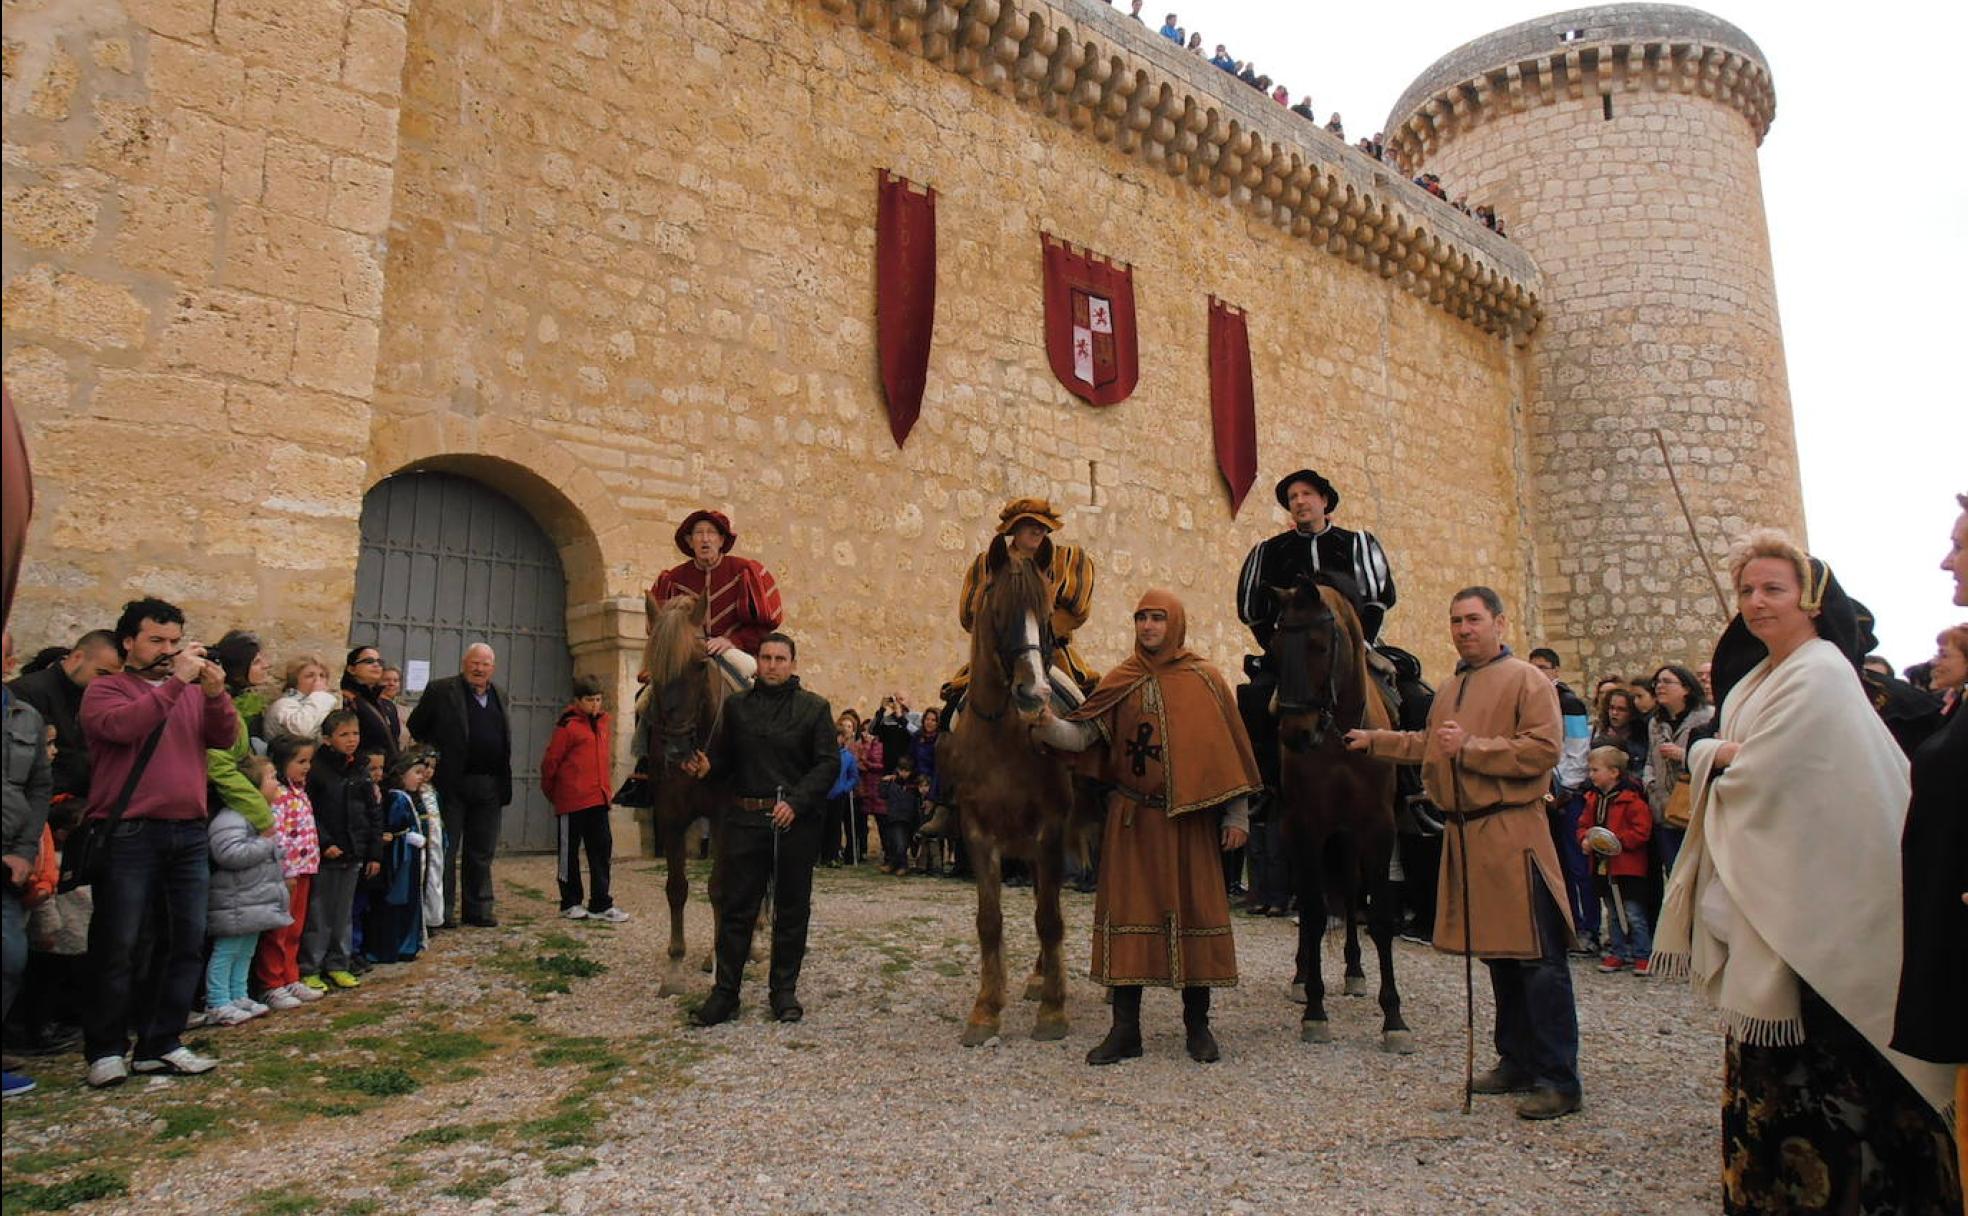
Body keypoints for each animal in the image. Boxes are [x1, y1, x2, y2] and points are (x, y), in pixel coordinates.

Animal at [641, 590, 755, 987]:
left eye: (700, 664)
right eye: (652, 669)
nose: (677, 750)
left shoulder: (724, 818)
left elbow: (720, 890)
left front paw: (720, 958)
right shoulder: (670, 816)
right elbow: (676, 888)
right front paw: (675, 963)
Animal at [936, 539, 1078, 1038]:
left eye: (1048, 611)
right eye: (997, 610)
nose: (1034, 694)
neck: (1003, 736)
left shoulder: (1052, 829)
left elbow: (1050, 919)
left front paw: (1054, 1011)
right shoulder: (978, 834)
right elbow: (990, 920)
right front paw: (985, 1009)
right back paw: (1037, 977)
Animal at [1267, 578, 1409, 1054]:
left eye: (1318, 645)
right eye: (1275, 649)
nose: (1295, 734)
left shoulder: (1378, 828)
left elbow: (1379, 917)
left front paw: (1394, 1019)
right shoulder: (1306, 826)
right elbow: (1311, 913)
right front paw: (1314, 1009)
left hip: (1348, 837)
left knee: (1349, 894)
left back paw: (1354, 971)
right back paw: (1301, 975)